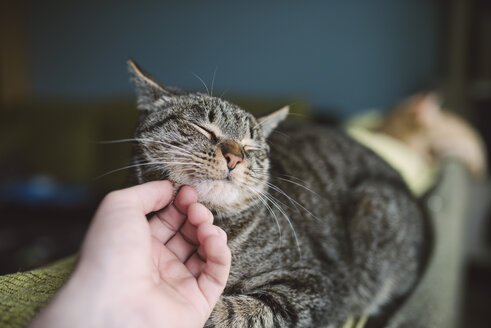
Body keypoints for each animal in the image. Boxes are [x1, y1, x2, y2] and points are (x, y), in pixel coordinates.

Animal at [128, 60, 430, 326]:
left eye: (250, 147)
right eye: (203, 128)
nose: (235, 157)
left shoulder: (317, 287)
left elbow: (240, 312)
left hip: (374, 204)